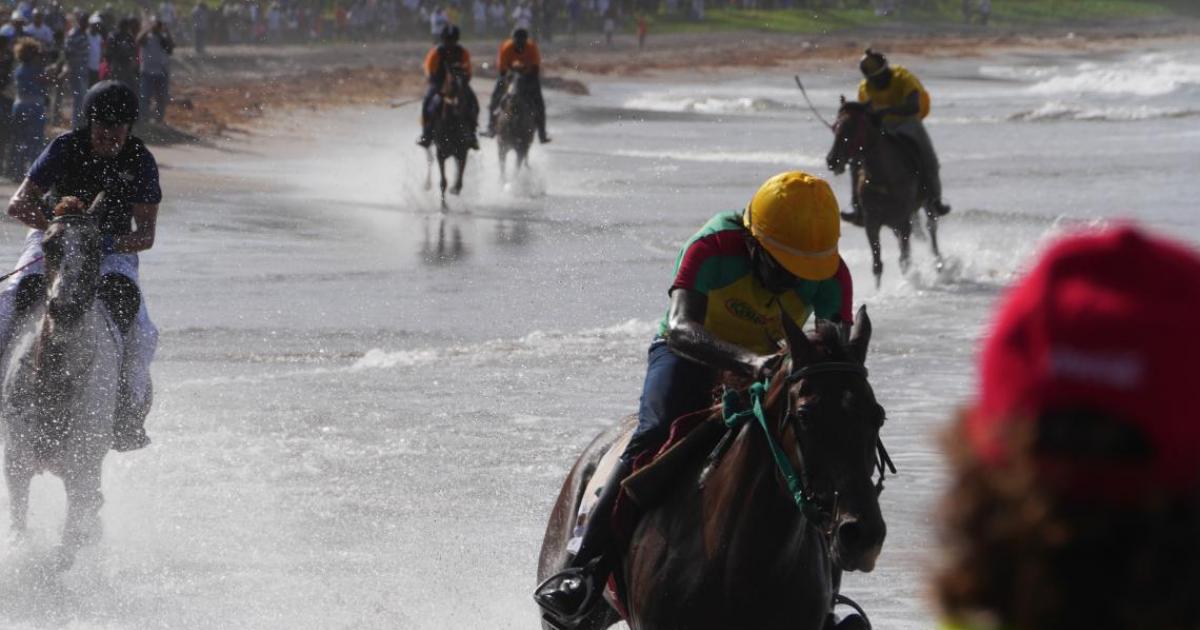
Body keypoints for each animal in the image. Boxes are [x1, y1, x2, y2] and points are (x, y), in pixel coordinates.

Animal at [424, 69, 475, 206]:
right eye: (451, 84)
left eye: (464, 87)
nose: (459, 107)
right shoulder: (441, 153)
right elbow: (443, 181)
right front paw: (444, 206)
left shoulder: (463, 151)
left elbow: (460, 177)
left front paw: (455, 189)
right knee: (429, 158)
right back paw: (427, 184)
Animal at [830, 99, 940, 285]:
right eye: (834, 127)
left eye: (853, 127)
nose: (832, 160)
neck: (884, 177)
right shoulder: (872, 223)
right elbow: (877, 265)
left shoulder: (903, 221)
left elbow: (904, 259)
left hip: (928, 199)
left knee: (932, 226)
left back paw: (939, 263)